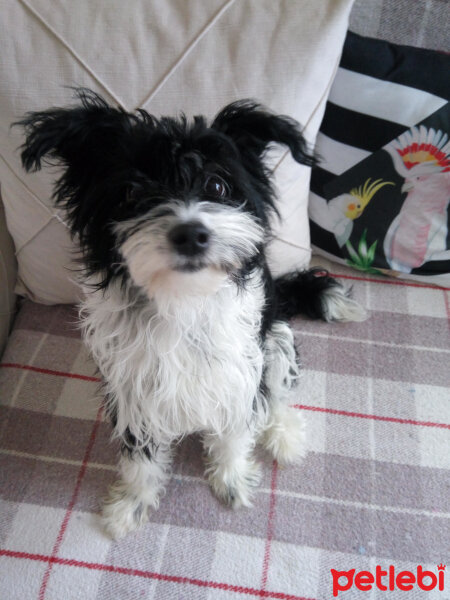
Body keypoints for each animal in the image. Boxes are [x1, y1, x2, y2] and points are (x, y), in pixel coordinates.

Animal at [17, 90, 368, 540]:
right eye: (131, 192)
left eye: (216, 184)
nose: (190, 234)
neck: (181, 300)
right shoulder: (133, 388)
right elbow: (141, 457)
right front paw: (131, 503)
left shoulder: (237, 372)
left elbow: (236, 431)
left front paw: (232, 480)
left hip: (275, 338)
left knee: (276, 393)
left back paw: (284, 433)